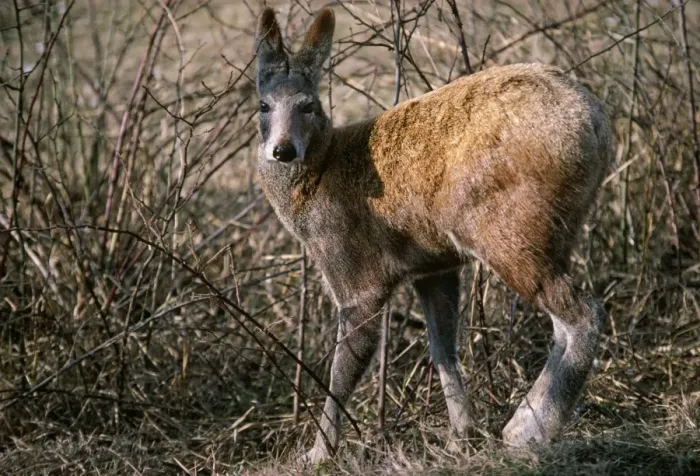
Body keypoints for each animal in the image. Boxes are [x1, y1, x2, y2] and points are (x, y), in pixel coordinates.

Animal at [253, 6, 611, 463]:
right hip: (558, 230)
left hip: (510, 230)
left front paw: (317, 455)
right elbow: (443, 350)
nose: (282, 150)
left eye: (309, 105)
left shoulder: (356, 277)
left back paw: (530, 430)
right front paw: (462, 436)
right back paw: (521, 423)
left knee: (583, 313)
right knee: (565, 319)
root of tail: (597, 123)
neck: (316, 180)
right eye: (263, 105)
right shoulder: (433, 268)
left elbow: (341, 372)